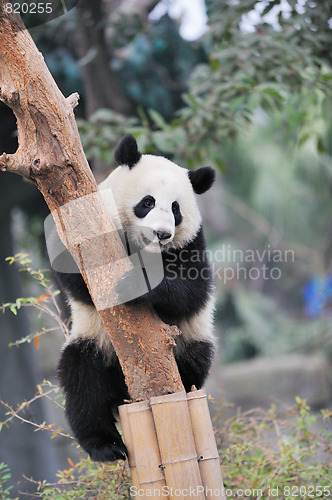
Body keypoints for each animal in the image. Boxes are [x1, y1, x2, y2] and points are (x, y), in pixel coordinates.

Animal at [55, 135, 215, 462]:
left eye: (176, 209)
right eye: (148, 202)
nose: (162, 234)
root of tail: (122, 392)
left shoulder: (192, 244)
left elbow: (192, 290)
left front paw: (135, 284)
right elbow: (74, 274)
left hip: (191, 339)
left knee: (194, 361)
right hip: (94, 341)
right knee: (83, 382)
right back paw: (106, 446)